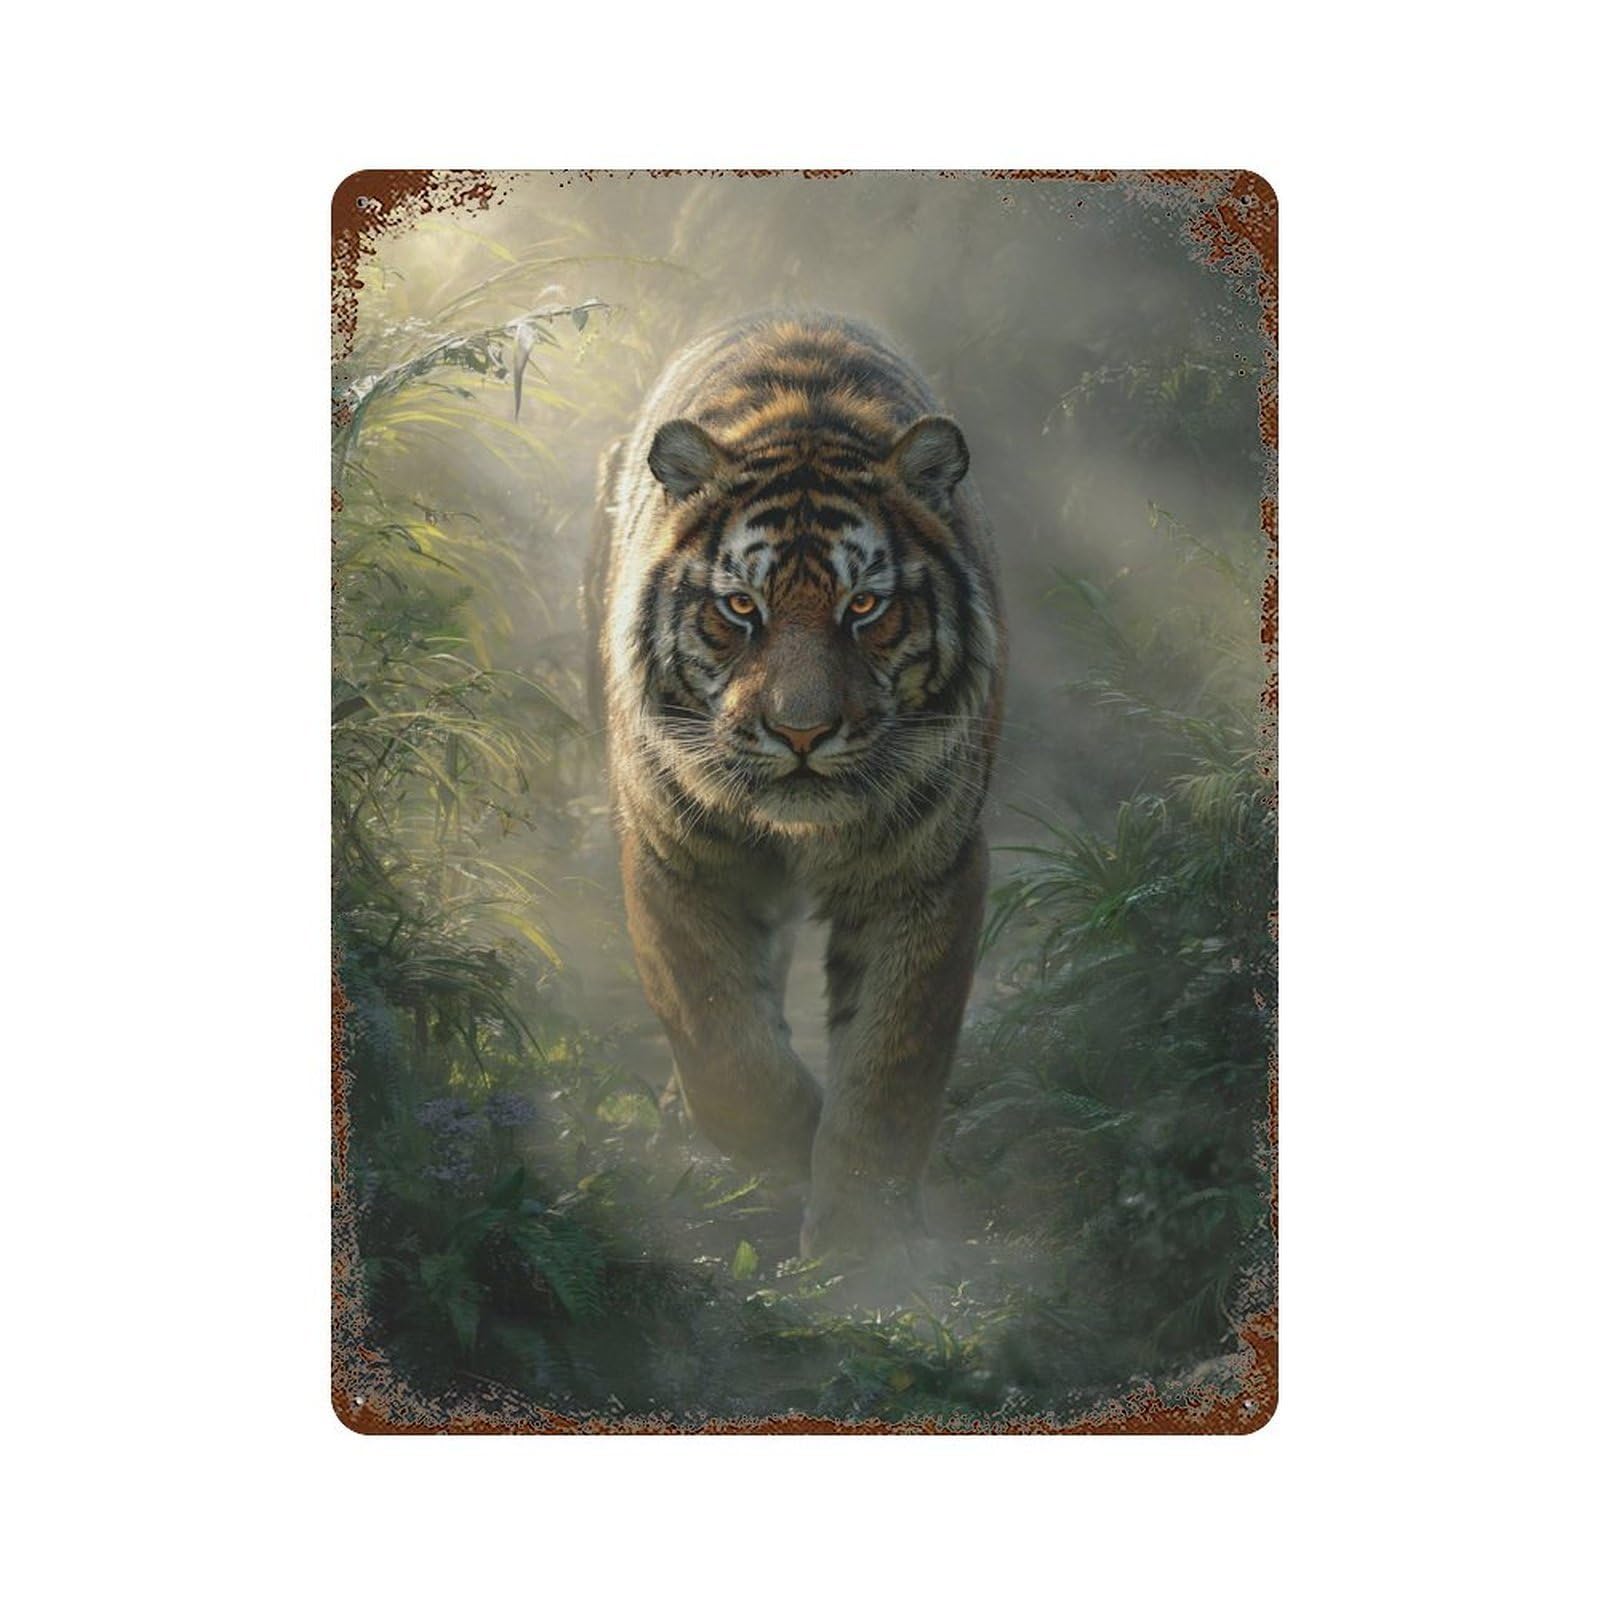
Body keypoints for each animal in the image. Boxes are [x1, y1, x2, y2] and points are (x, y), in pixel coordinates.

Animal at [586, 313, 1005, 1259]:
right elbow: (721, 1041)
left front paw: (863, 1247)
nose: (803, 732)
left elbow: (891, 1067)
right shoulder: (676, 856)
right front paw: (786, 1139)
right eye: (743, 608)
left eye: (864, 608)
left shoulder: (927, 872)